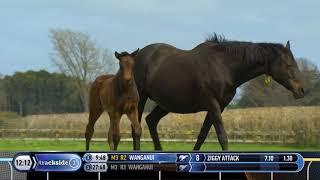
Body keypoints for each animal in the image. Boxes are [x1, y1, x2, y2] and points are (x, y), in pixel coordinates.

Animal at [134, 35, 304, 150]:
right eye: (288, 65)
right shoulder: (213, 104)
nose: (301, 90)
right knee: (137, 128)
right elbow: (222, 137)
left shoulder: (219, 106)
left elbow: (202, 135)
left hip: (167, 104)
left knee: (151, 120)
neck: (224, 66)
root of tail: (138, 55)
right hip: (141, 98)